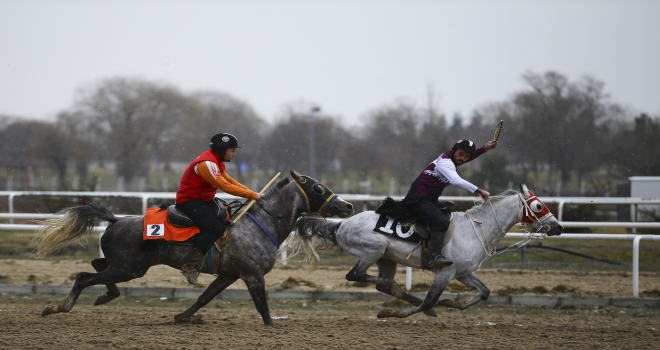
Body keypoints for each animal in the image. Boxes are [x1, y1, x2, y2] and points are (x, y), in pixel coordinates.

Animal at [34, 170, 356, 326]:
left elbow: (204, 297)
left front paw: (181, 317)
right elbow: (262, 307)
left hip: (124, 267)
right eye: (318, 188)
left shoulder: (229, 275)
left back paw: (105, 296)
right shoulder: (253, 276)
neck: (261, 221)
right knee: (83, 277)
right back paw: (59, 307)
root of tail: (115, 220)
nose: (348, 206)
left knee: (97, 267)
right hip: (129, 268)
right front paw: (271, 327)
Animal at [284, 185, 564, 318]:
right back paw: (399, 293)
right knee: (356, 276)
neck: (475, 229)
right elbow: (430, 299)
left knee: (381, 282)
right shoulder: (445, 273)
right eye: (538, 206)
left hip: (387, 259)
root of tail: (341, 224)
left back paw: (398, 290)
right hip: (373, 251)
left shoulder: (463, 273)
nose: (558, 226)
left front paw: (452, 303)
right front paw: (393, 313)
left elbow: (484, 292)